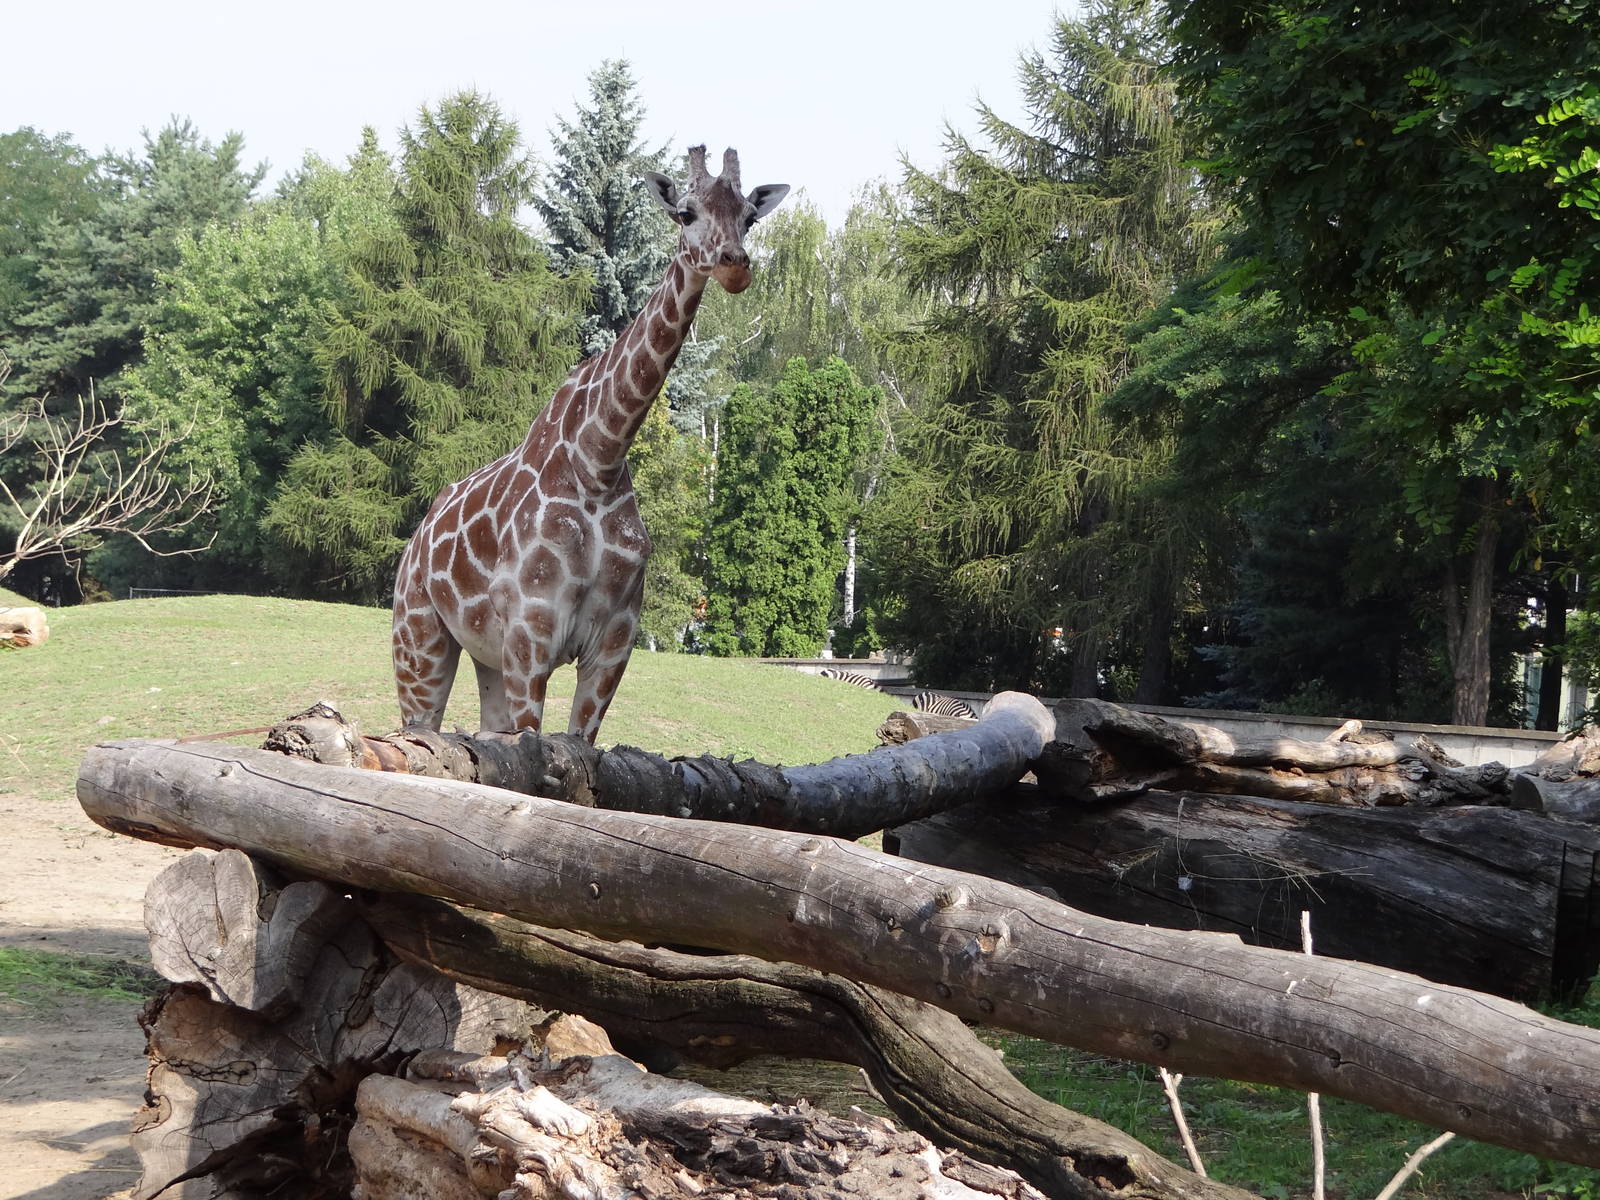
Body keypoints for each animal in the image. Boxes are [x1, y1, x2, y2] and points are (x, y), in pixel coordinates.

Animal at [391, 146, 789, 743]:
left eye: (749, 217)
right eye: (685, 213)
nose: (734, 265)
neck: (598, 459)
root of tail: (414, 542)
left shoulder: (614, 641)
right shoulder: (531, 633)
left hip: (485, 657)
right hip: (418, 640)